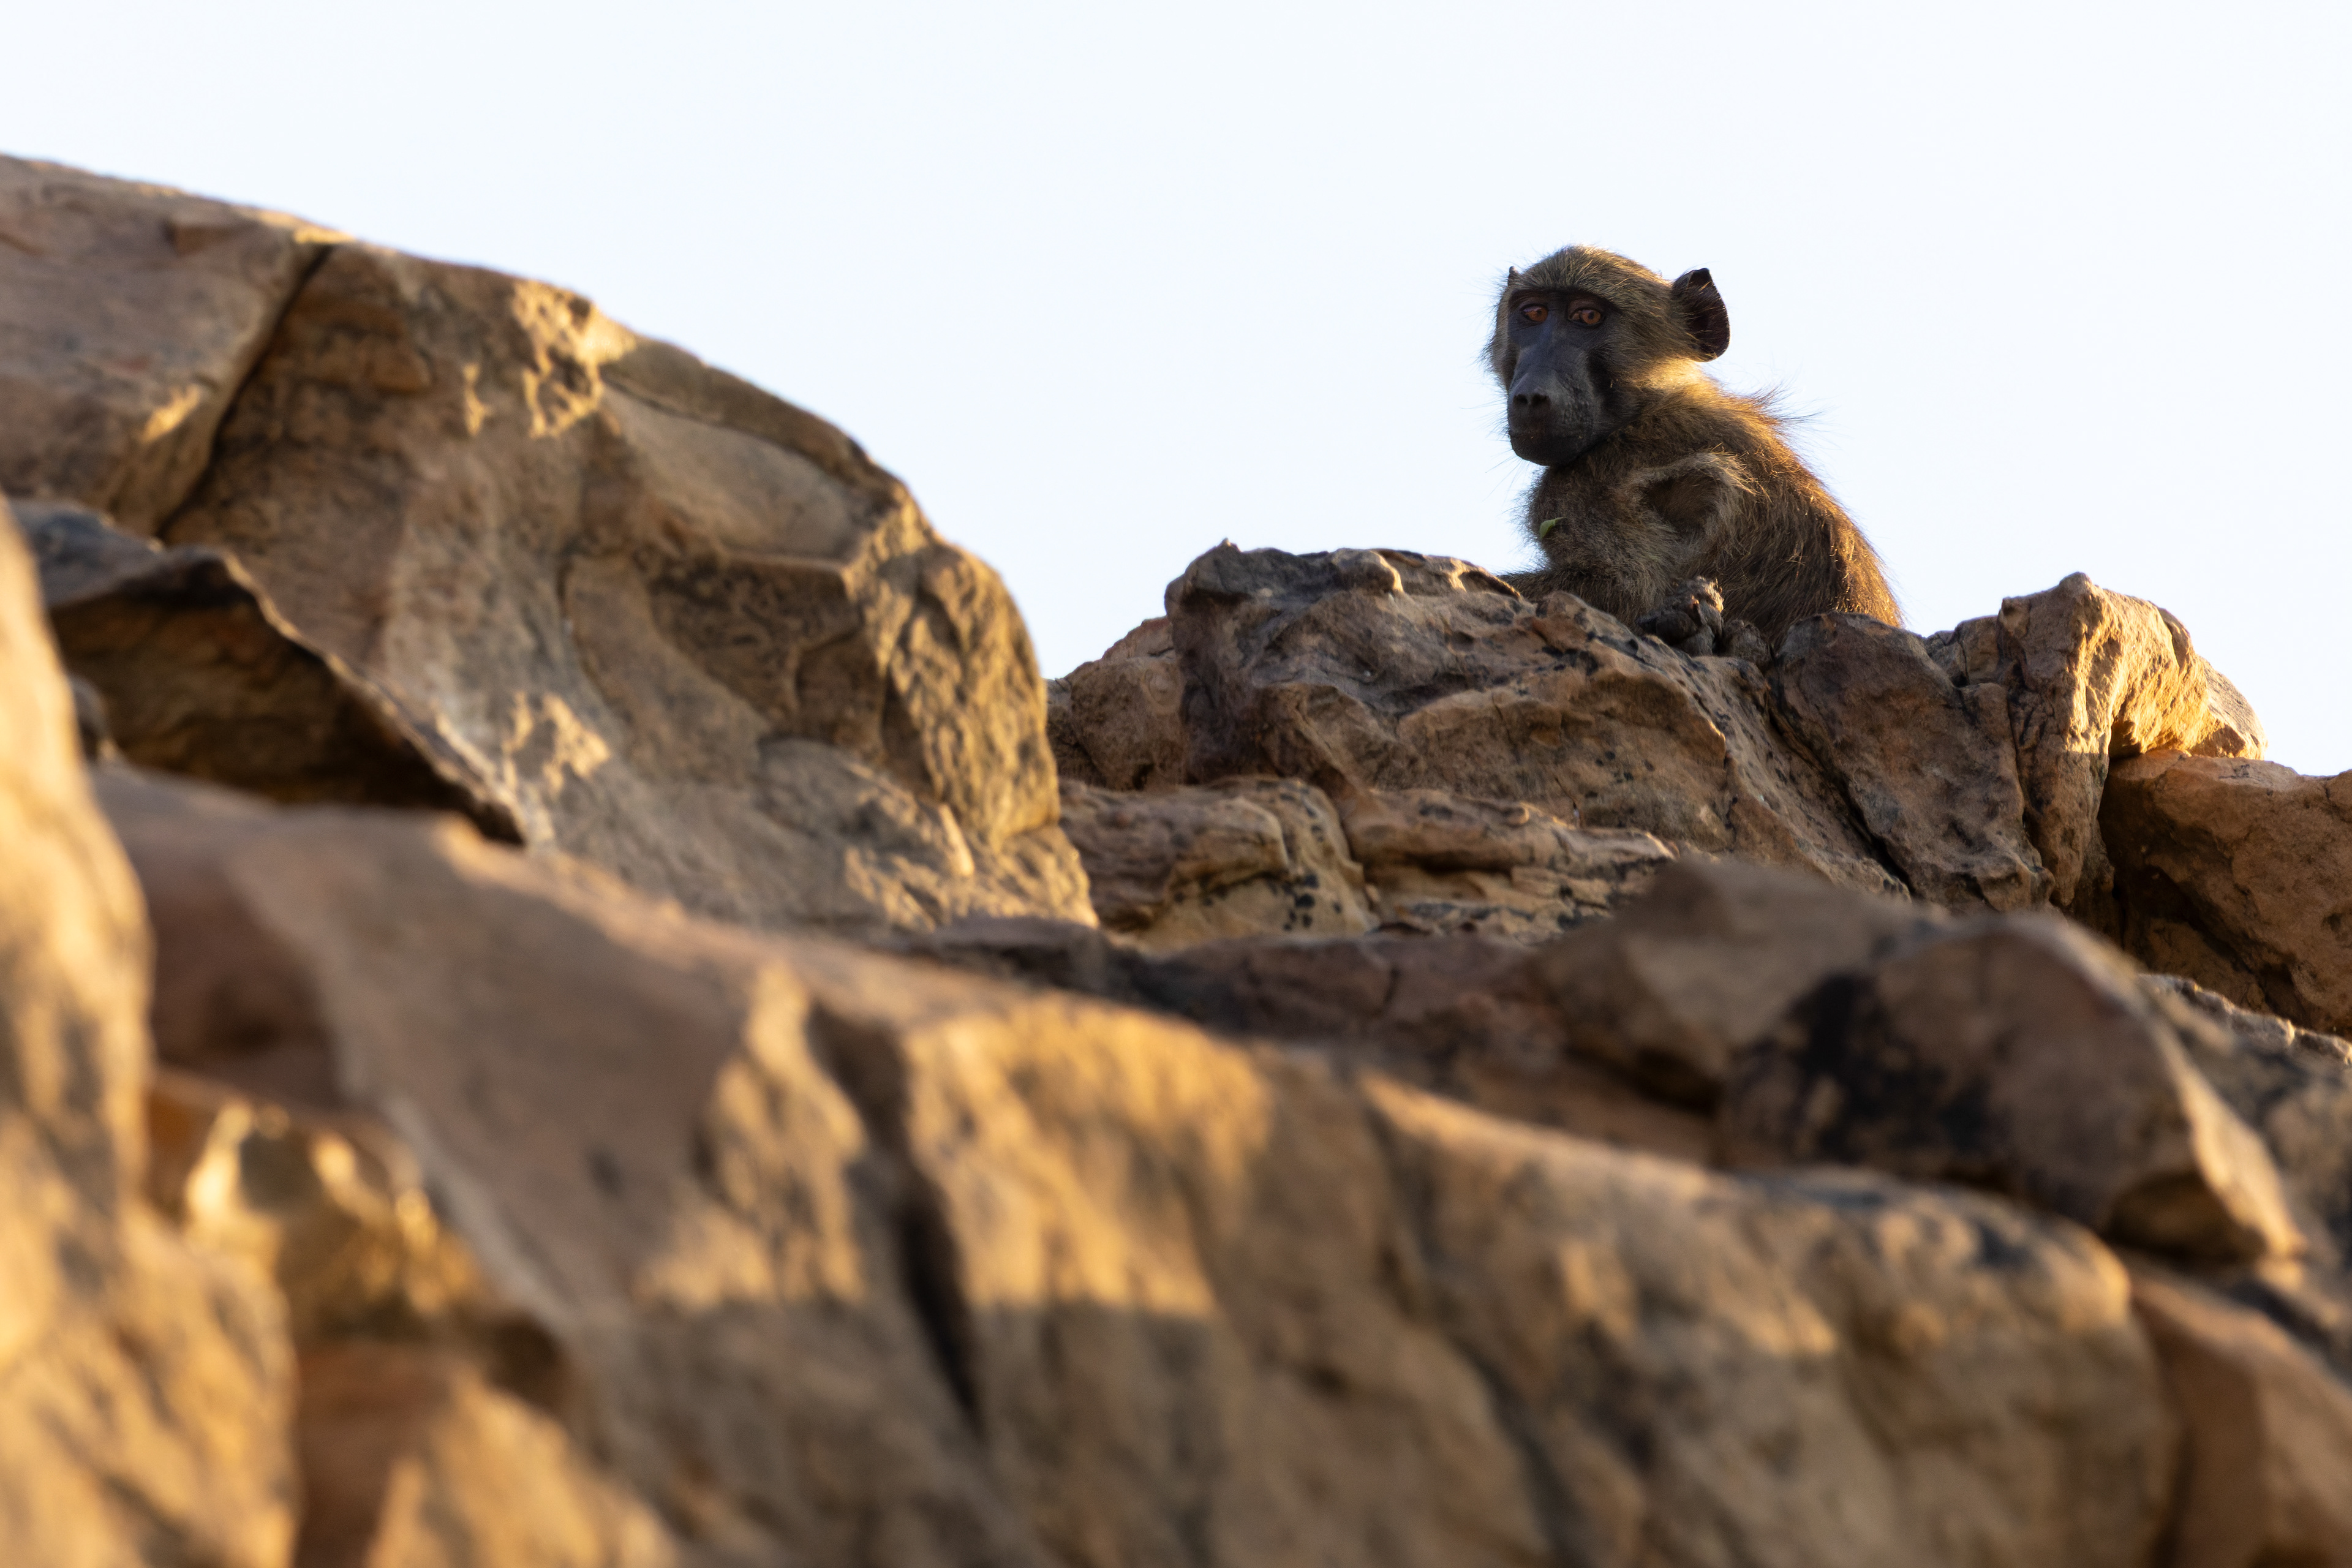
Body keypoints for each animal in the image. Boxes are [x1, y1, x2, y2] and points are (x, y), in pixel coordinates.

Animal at [1489, 245, 1898, 651]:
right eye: (1534, 313)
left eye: (1588, 316)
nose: (1531, 395)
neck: (1650, 404)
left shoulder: (1589, 485)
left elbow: (1626, 590)